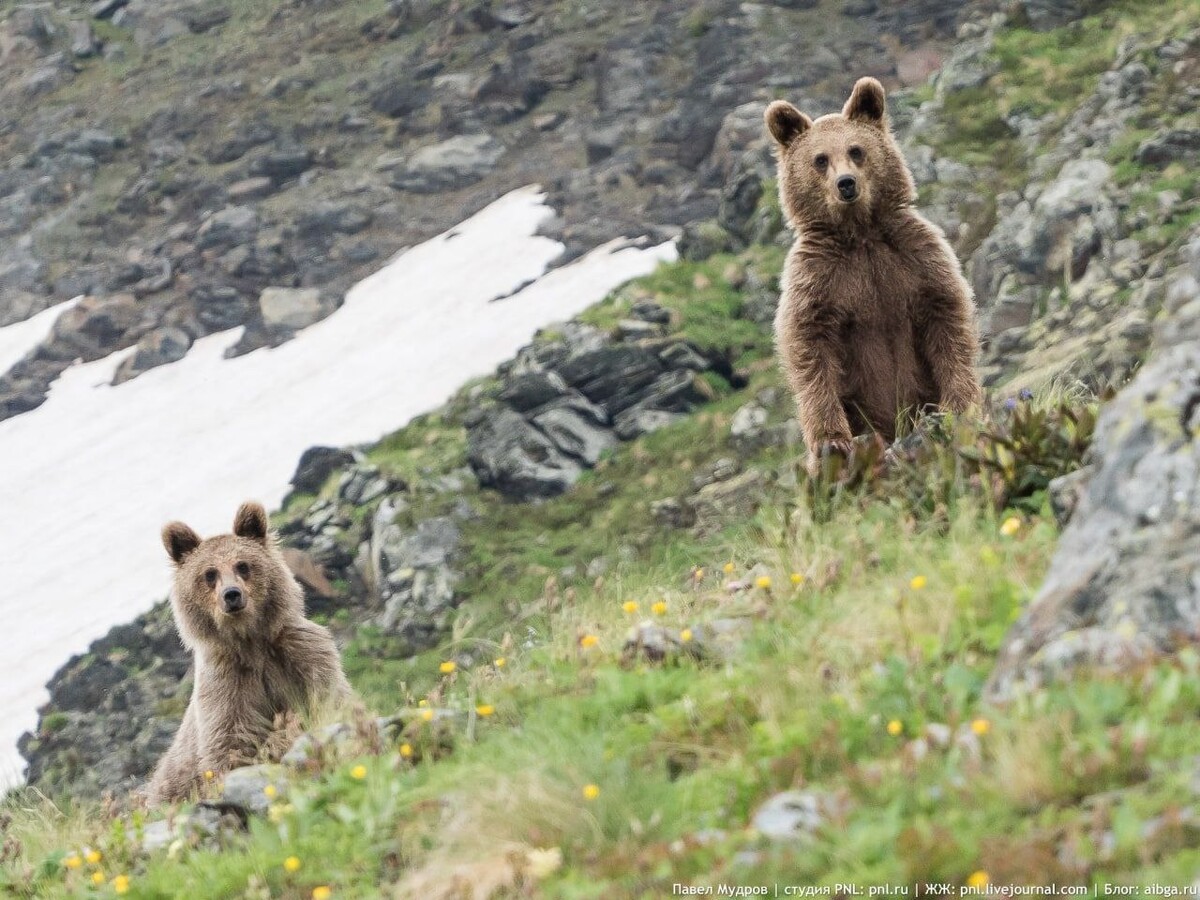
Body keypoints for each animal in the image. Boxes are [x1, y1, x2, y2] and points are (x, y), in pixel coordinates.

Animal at [146, 504, 350, 806]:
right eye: (209, 573)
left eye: (243, 565)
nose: (231, 595)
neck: (251, 643)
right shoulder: (227, 685)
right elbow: (232, 743)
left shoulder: (302, 655)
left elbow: (328, 697)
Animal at [763, 77, 979, 475]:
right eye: (820, 159)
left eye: (856, 150)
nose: (846, 183)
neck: (860, 233)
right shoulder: (819, 279)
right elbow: (809, 348)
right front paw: (832, 440)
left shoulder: (914, 259)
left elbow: (948, 321)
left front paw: (960, 404)